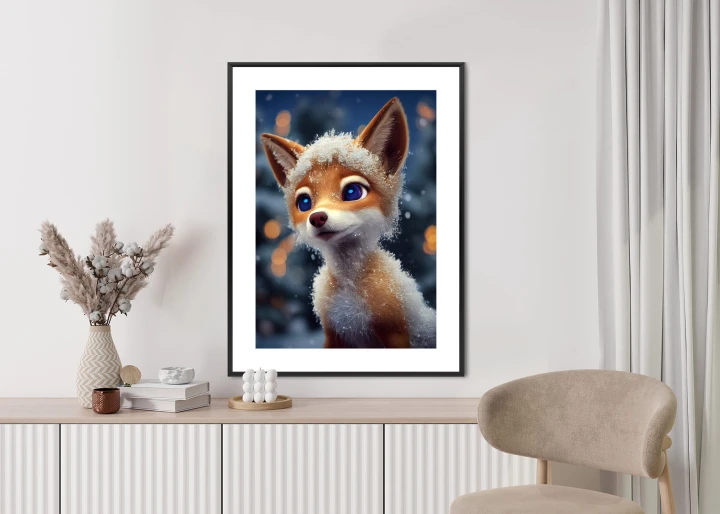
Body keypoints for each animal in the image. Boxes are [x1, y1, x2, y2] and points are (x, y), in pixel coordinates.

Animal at [261, 97, 436, 349]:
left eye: (352, 192)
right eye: (304, 203)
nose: (317, 217)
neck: (349, 291)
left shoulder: (394, 331)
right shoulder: (334, 334)